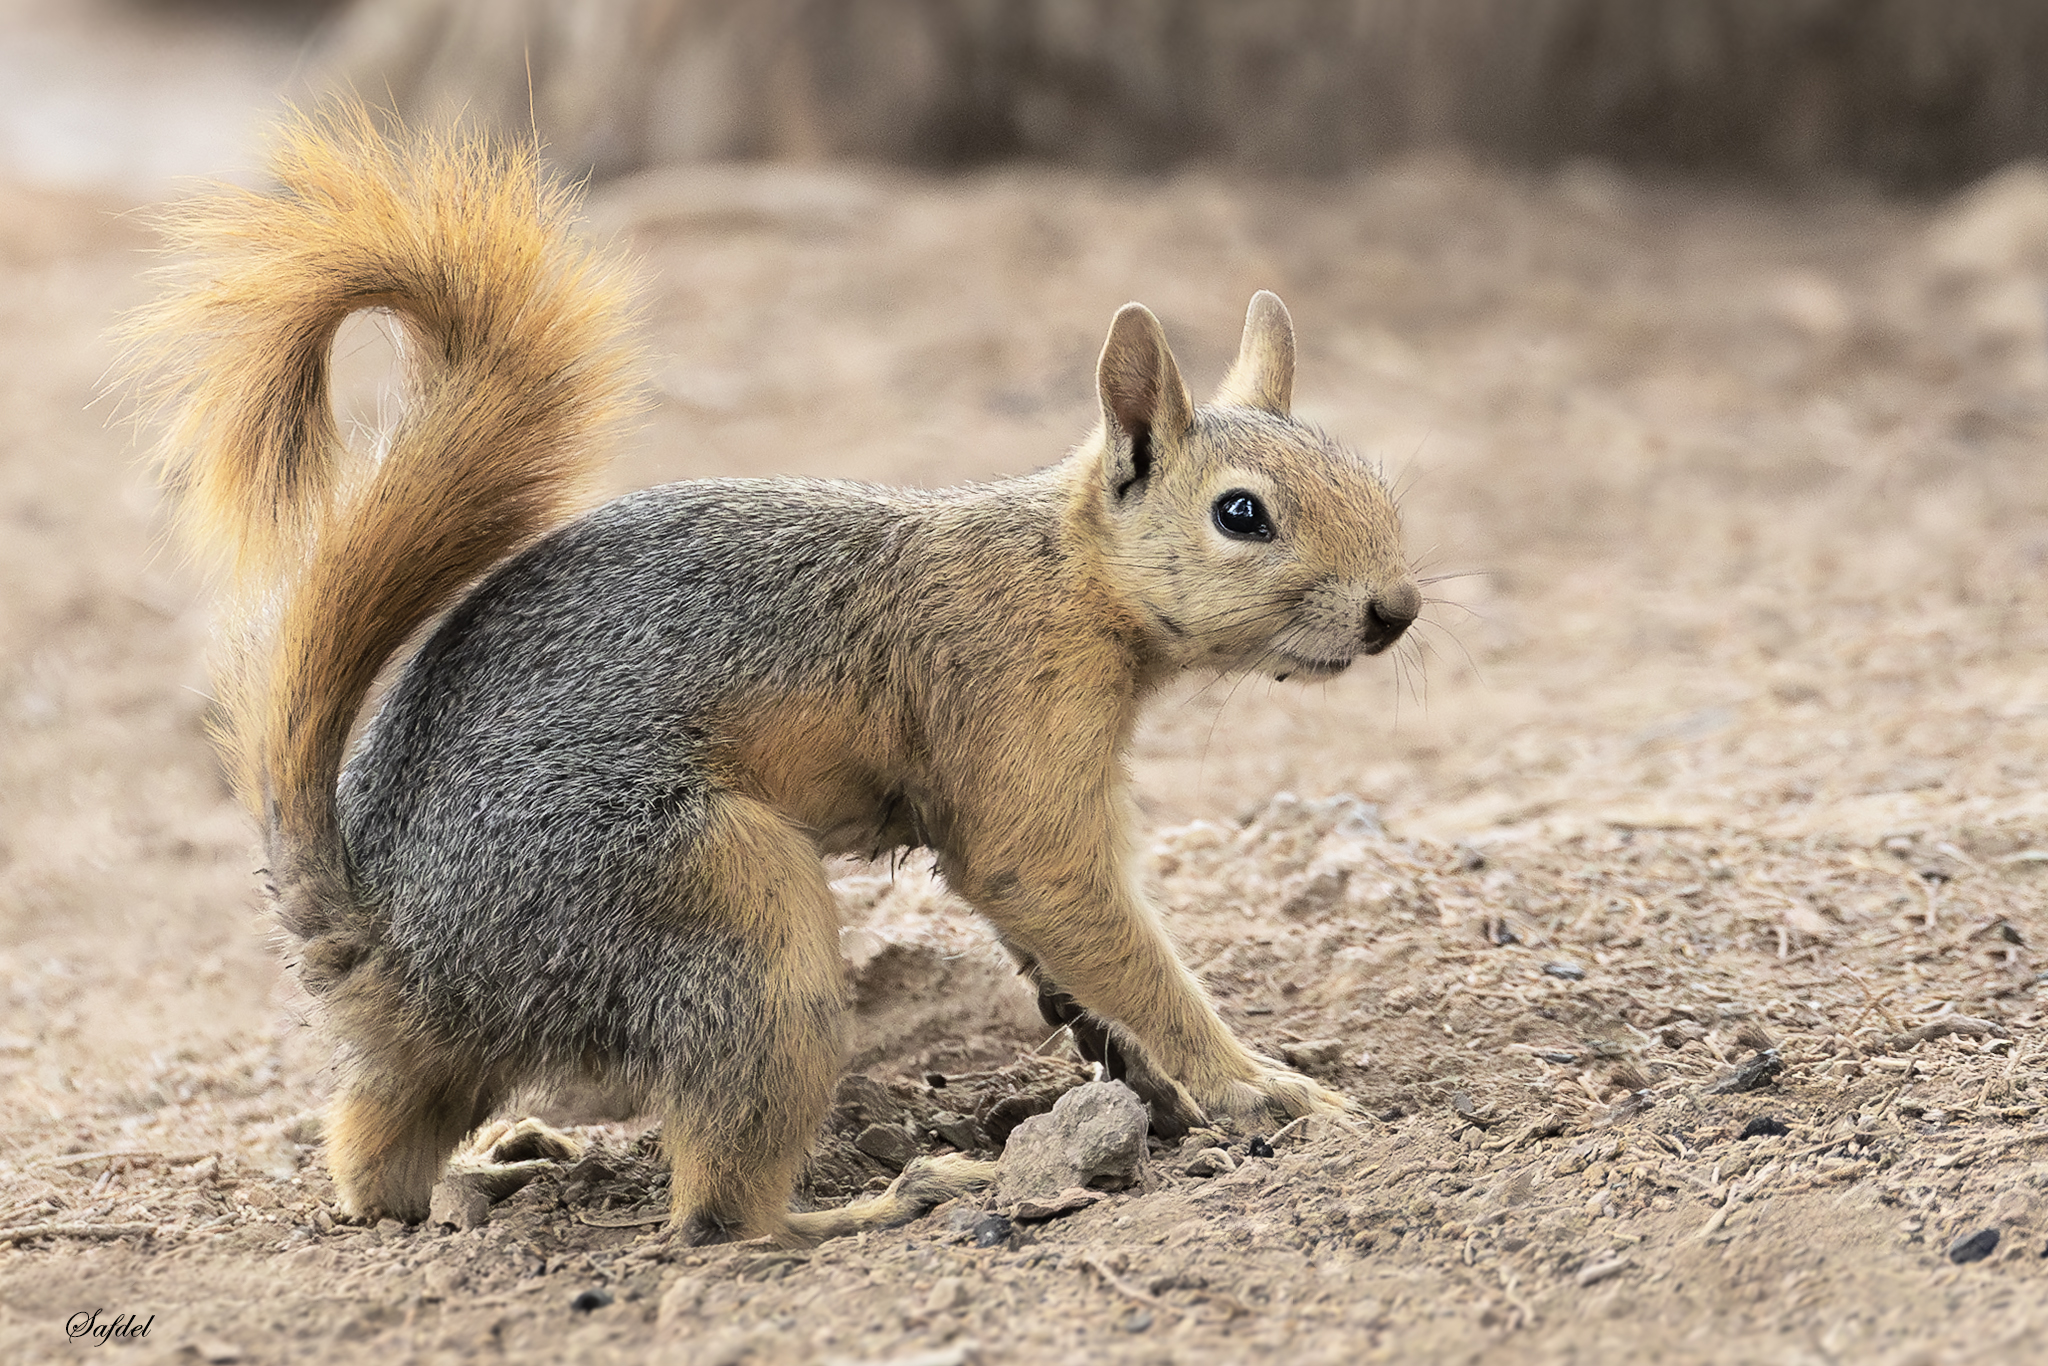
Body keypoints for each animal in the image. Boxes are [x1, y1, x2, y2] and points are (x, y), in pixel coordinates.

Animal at [125, 106, 1420, 1246]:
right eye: (1240, 514)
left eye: (1369, 475)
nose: (1394, 611)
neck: (1064, 578)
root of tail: (387, 939)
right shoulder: (1008, 716)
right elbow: (1059, 893)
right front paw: (1254, 1083)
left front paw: (1117, 1053)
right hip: (717, 903)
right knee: (715, 1220)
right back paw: (867, 1204)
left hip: (478, 1033)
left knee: (375, 1146)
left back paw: (487, 1169)